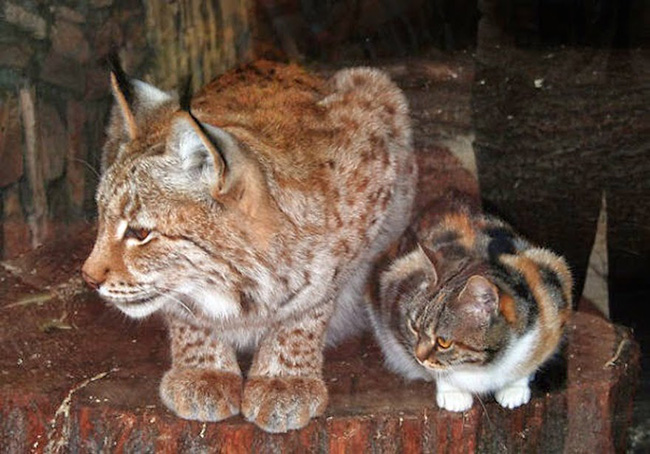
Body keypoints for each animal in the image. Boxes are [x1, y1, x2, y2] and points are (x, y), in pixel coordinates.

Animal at [82, 58, 416, 430]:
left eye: (140, 233)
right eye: (101, 217)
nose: (88, 278)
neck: (241, 287)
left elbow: (312, 301)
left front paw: (283, 380)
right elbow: (186, 312)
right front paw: (205, 372)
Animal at [368, 198, 568, 412]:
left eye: (443, 342)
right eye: (414, 327)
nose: (418, 357)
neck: (485, 366)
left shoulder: (552, 288)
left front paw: (515, 388)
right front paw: (453, 394)